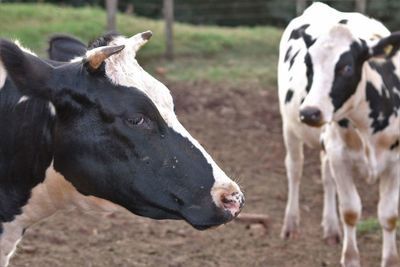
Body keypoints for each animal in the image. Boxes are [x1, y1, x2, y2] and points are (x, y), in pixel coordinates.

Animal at [280, 2, 398, 267]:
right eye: (309, 66)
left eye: (347, 67)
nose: (310, 112)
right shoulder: (339, 155)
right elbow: (351, 211)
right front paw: (351, 258)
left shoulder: (396, 161)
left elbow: (388, 215)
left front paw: (390, 259)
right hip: (289, 126)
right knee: (295, 169)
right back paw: (291, 224)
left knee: (325, 177)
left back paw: (331, 229)